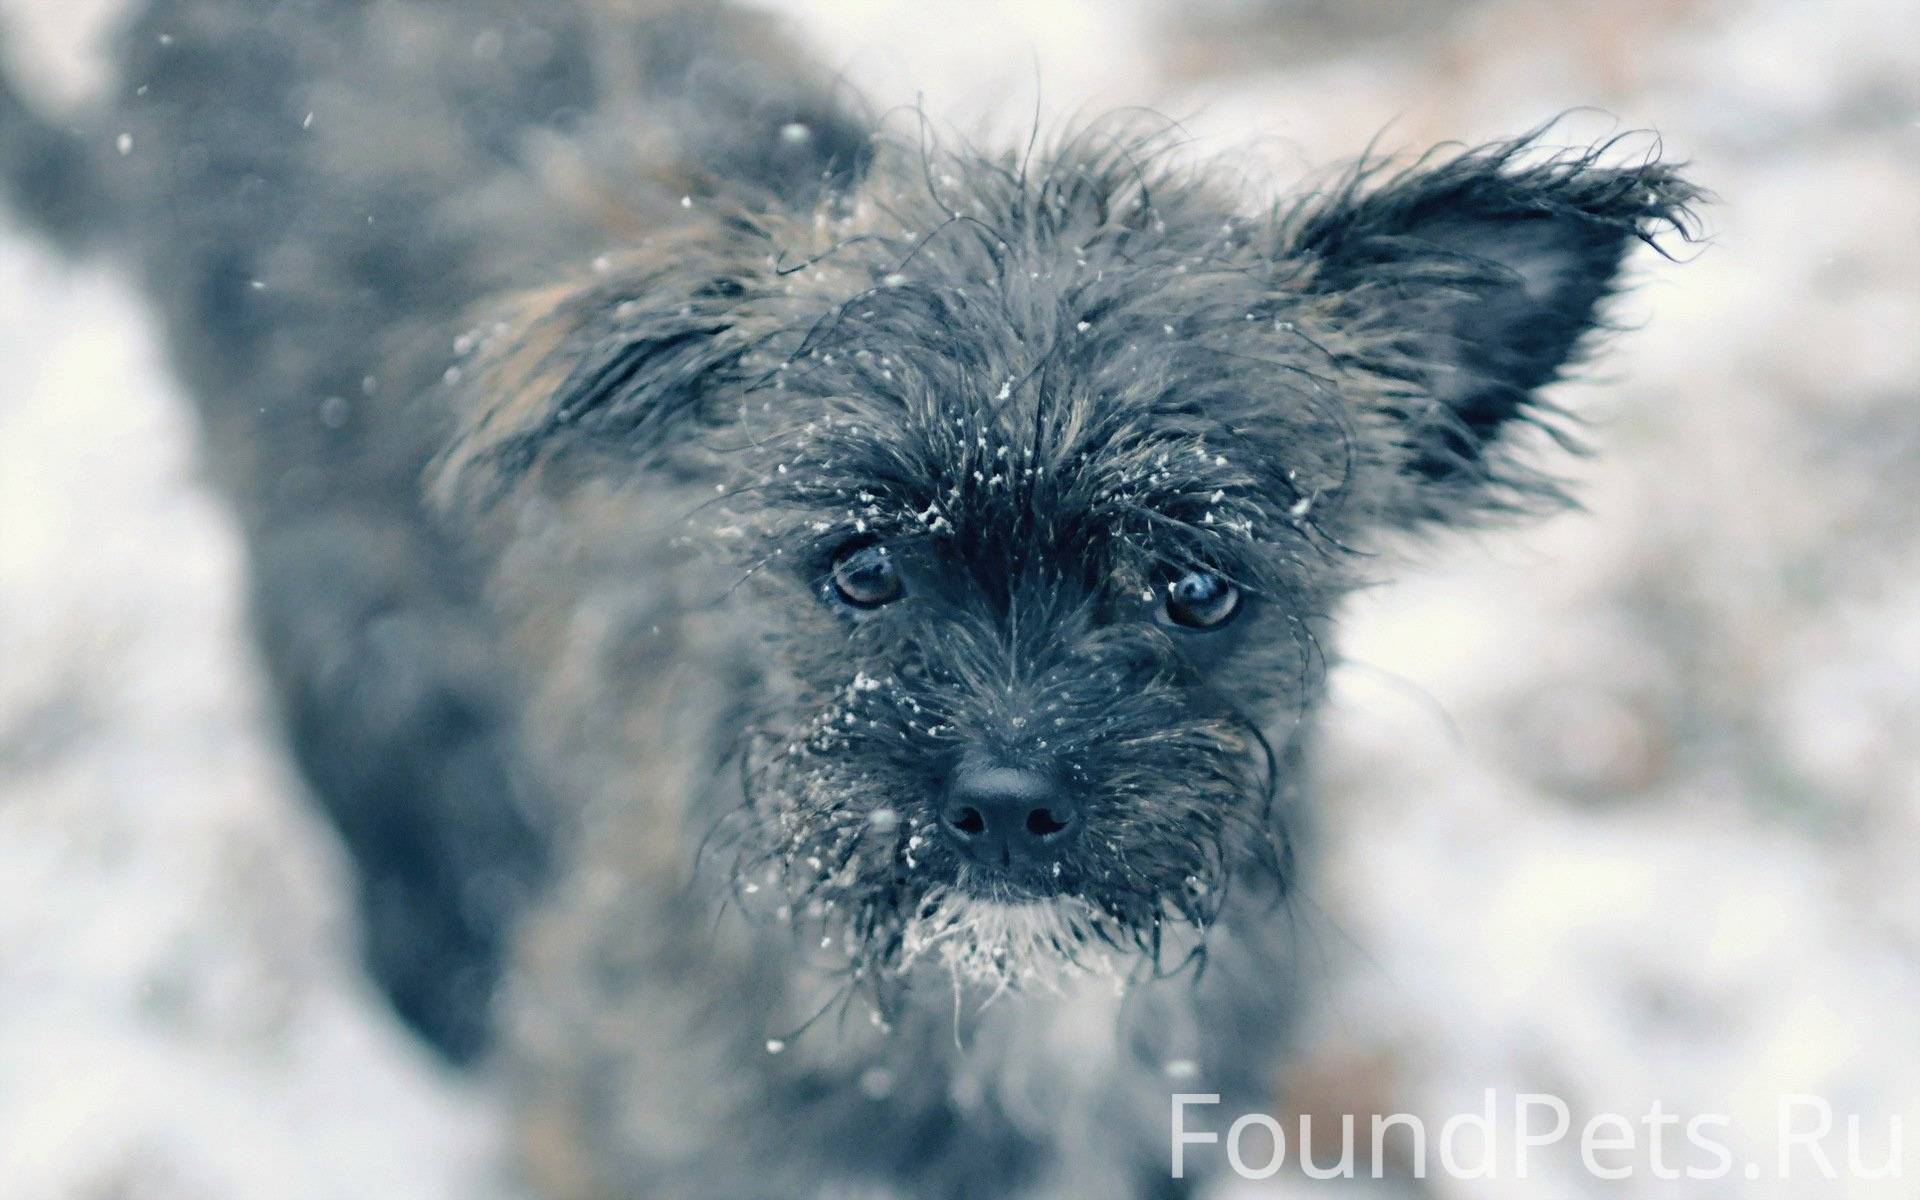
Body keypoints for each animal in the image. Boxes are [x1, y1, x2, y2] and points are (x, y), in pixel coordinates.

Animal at [3, 4, 1712, 1190]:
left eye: (1195, 586)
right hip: (340, 580)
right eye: (862, 568)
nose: (1007, 801)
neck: (1009, 1004)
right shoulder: (623, 1118)